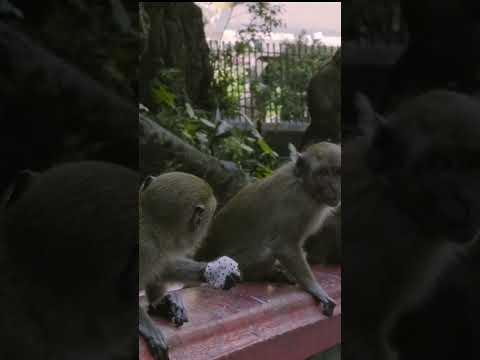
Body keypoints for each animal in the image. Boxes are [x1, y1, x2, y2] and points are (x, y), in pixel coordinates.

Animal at [139, 172, 242, 360]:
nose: (205, 232)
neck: (152, 225)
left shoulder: (158, 247)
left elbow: (163, 266)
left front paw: (215, 271)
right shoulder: (146, 248)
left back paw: (161, 304)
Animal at [195, 142, 342, 316]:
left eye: (338, 172)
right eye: (323, 173)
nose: (334, 187)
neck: (303, 185)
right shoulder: (297, 204)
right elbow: (284, 246)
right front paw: (316, 290)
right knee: (265, 251)